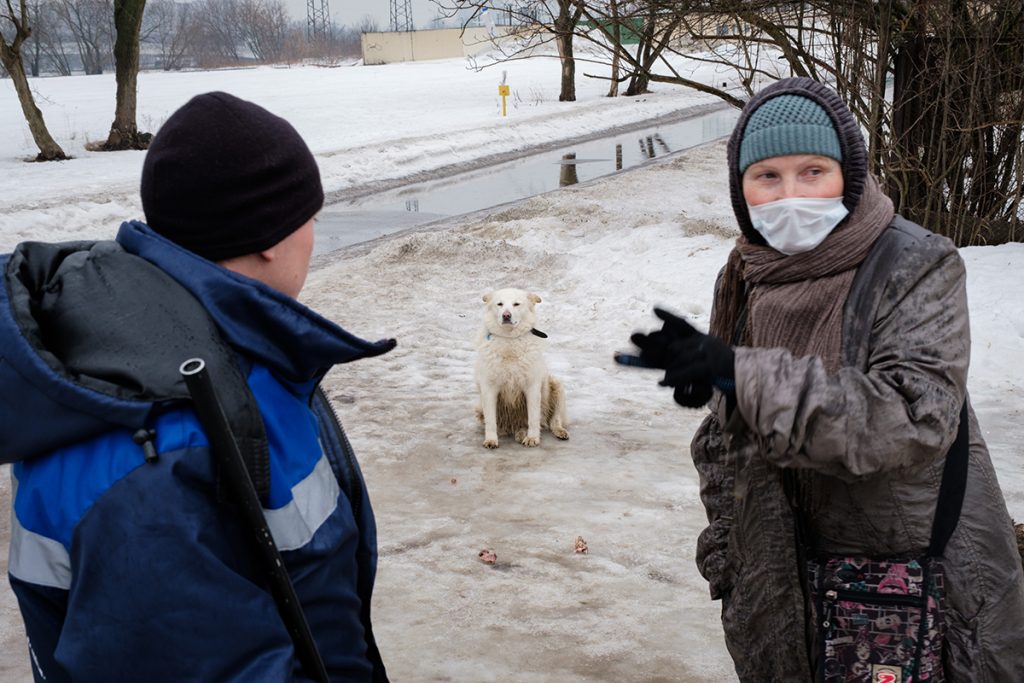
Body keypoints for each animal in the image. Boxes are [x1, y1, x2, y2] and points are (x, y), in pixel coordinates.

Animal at [473, 286, 569, 448]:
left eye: (516, 304)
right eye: (500, 304)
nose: (506, 315)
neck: (509, 339)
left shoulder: (532, 387)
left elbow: (533, 418)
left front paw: (533, 438)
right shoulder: (488, 387)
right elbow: (491, 421)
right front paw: (491, 440)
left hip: (556, 386)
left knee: (553, 420)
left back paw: (556, 432)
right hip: (481, 407)